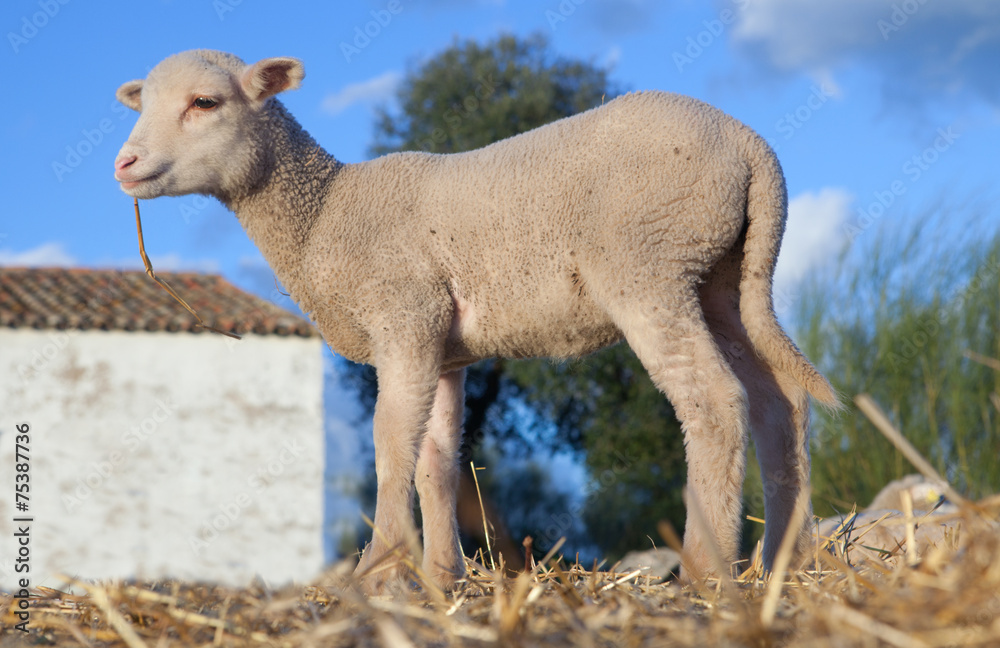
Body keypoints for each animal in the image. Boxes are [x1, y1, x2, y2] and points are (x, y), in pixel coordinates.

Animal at [113, 49, 838, 592]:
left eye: (205, 103)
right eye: (141, 106)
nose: (123, 164)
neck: (324, 214)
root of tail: (751, 147)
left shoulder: (404, 313)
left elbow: (389, 444)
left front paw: (378, 568)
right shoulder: (444, 344)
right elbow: (435, 461)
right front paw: (443, 576)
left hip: (651, 263)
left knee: (714, 401)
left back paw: (707, 570)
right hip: (724, 276)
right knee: (780, 400)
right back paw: (787, 561)